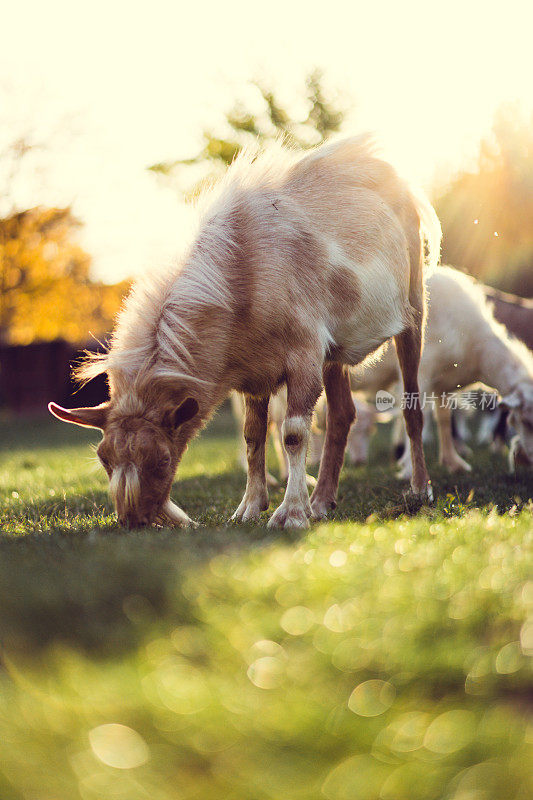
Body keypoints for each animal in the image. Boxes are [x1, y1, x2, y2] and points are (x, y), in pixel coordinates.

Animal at [47, 135, 438, 528]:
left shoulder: (304, 354)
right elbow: (253, 435)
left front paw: (291, 513)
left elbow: (293, 433)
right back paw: (322, 501)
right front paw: (250, 507)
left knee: (412, 406)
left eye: (161, 460)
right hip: (335, 352)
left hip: (413, 309)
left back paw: (419, 489)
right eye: (104, 459)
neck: (242, 272)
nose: (134, 521)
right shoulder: (256, 370)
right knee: (342, 415)